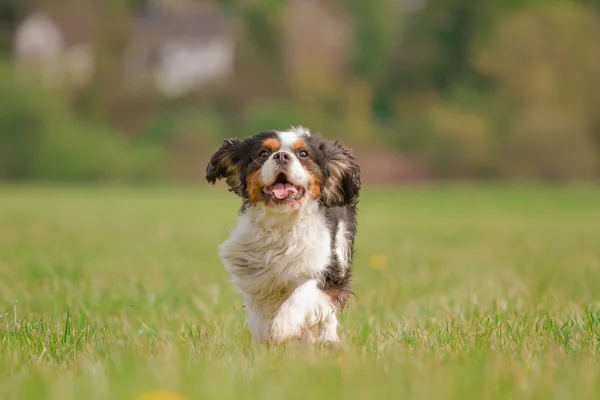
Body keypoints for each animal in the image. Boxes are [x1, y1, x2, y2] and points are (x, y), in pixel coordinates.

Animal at [205, 126, 360, 346]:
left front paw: (283, 327)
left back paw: (327, 339)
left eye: (303, 154)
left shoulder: (327, 270)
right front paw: (268, 333)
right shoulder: (253, 273)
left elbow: (304, 294)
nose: (281, 156)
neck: (282, 223)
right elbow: (260, 312)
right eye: (263, 154)